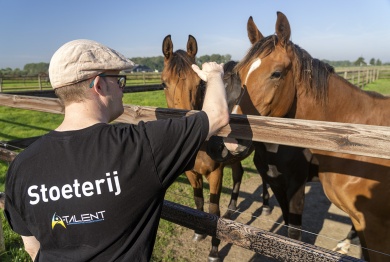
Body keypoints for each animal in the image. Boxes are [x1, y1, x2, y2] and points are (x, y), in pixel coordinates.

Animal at [160, 35, 254, 262]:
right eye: (164, 83)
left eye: (200, 83)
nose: (185, 129)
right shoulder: (191, 173)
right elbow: (198, 201)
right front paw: (198, 232)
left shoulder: (215, 174)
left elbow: (213, 211)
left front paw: (214, 251)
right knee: (238, 174)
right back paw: (231, 210)